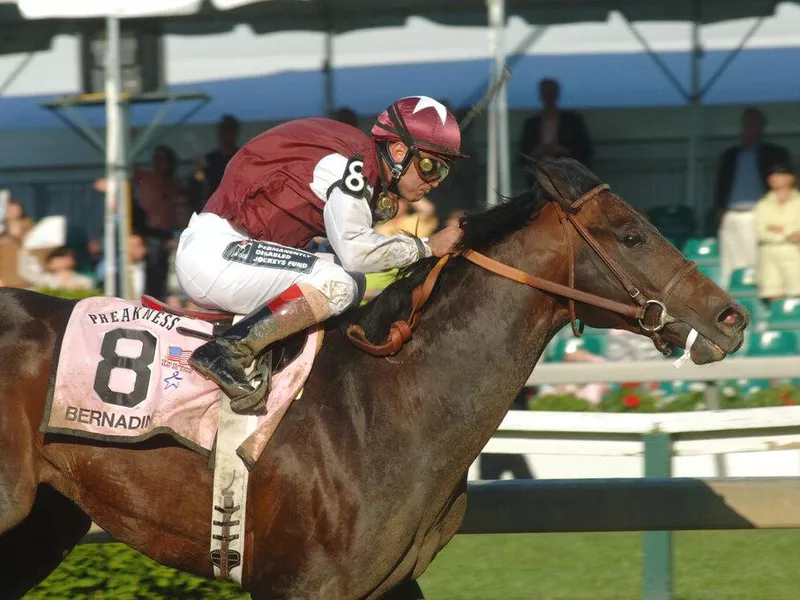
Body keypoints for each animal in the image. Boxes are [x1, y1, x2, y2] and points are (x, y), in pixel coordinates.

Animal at [1, 159, 752, 600]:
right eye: (631, 234)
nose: (733, 316)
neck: (387, 404)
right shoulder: (301, 586)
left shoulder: (389, 584)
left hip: (45, 521)